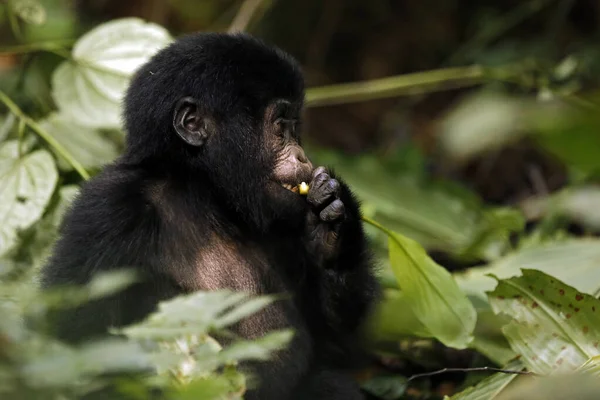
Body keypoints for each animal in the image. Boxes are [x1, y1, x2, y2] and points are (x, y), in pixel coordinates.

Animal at [41, 32, 380, 400]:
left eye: (295, 128)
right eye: (280, 128)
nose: (302, 154)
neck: (205, 197)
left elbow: (334, 341)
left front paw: (333, 236)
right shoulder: (108, 210)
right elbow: (75, 337)